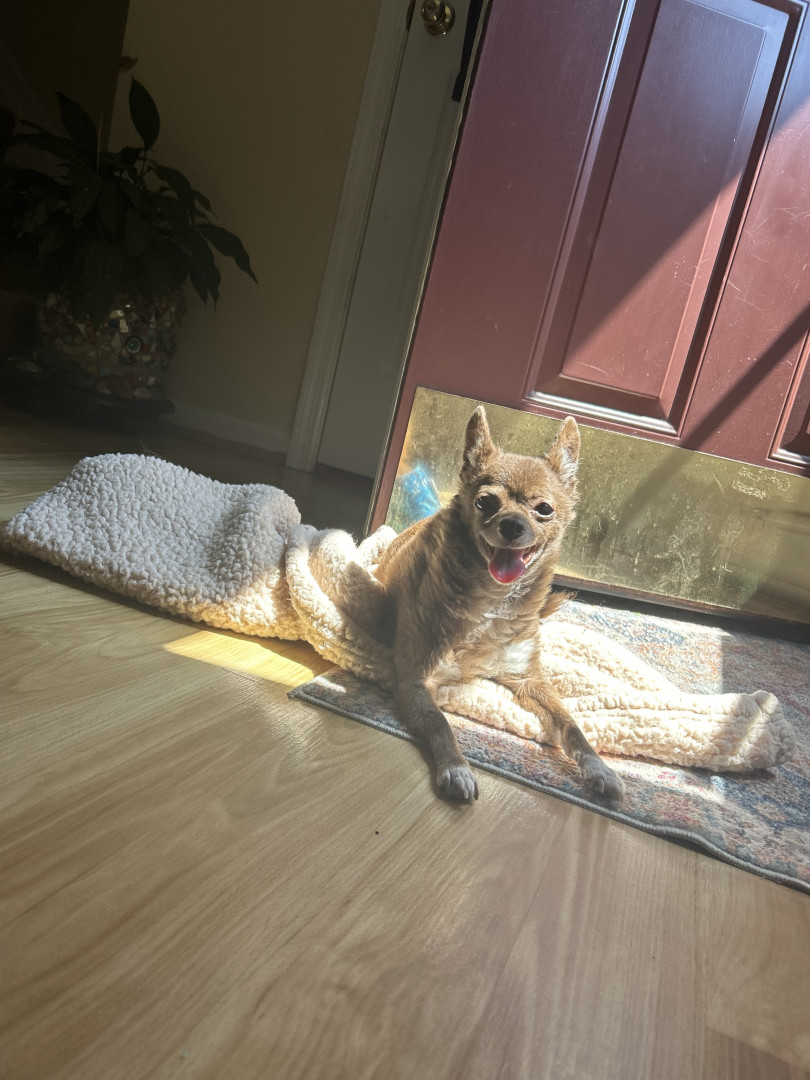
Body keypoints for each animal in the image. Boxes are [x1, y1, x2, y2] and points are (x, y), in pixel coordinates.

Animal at [374, 406, 624, 803]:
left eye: (544, 509)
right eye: (485, 503)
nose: (512, 525)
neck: (494, 599)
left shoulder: (529, 678)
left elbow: (570, 724)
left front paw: (599, 768)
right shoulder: (416, 680)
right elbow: (441, 724)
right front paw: (456, 768)